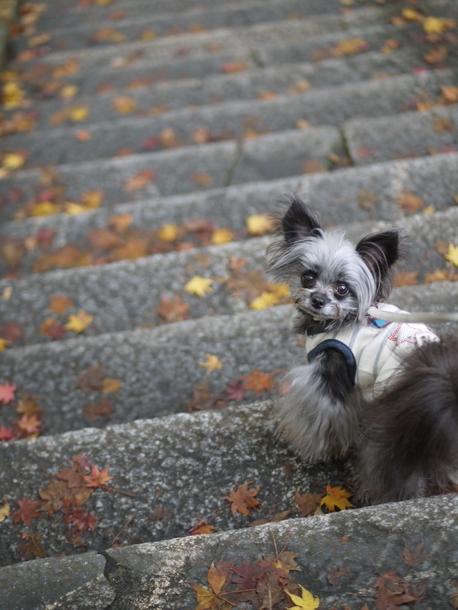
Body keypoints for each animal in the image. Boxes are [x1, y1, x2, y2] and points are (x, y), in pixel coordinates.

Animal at [266, 196, 456, 504]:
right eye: (308, 278)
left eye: (343, 288)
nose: (317, 300)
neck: (339, 321)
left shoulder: (324, 383)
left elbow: (319, 421)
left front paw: (312, 451)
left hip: (396, 431)